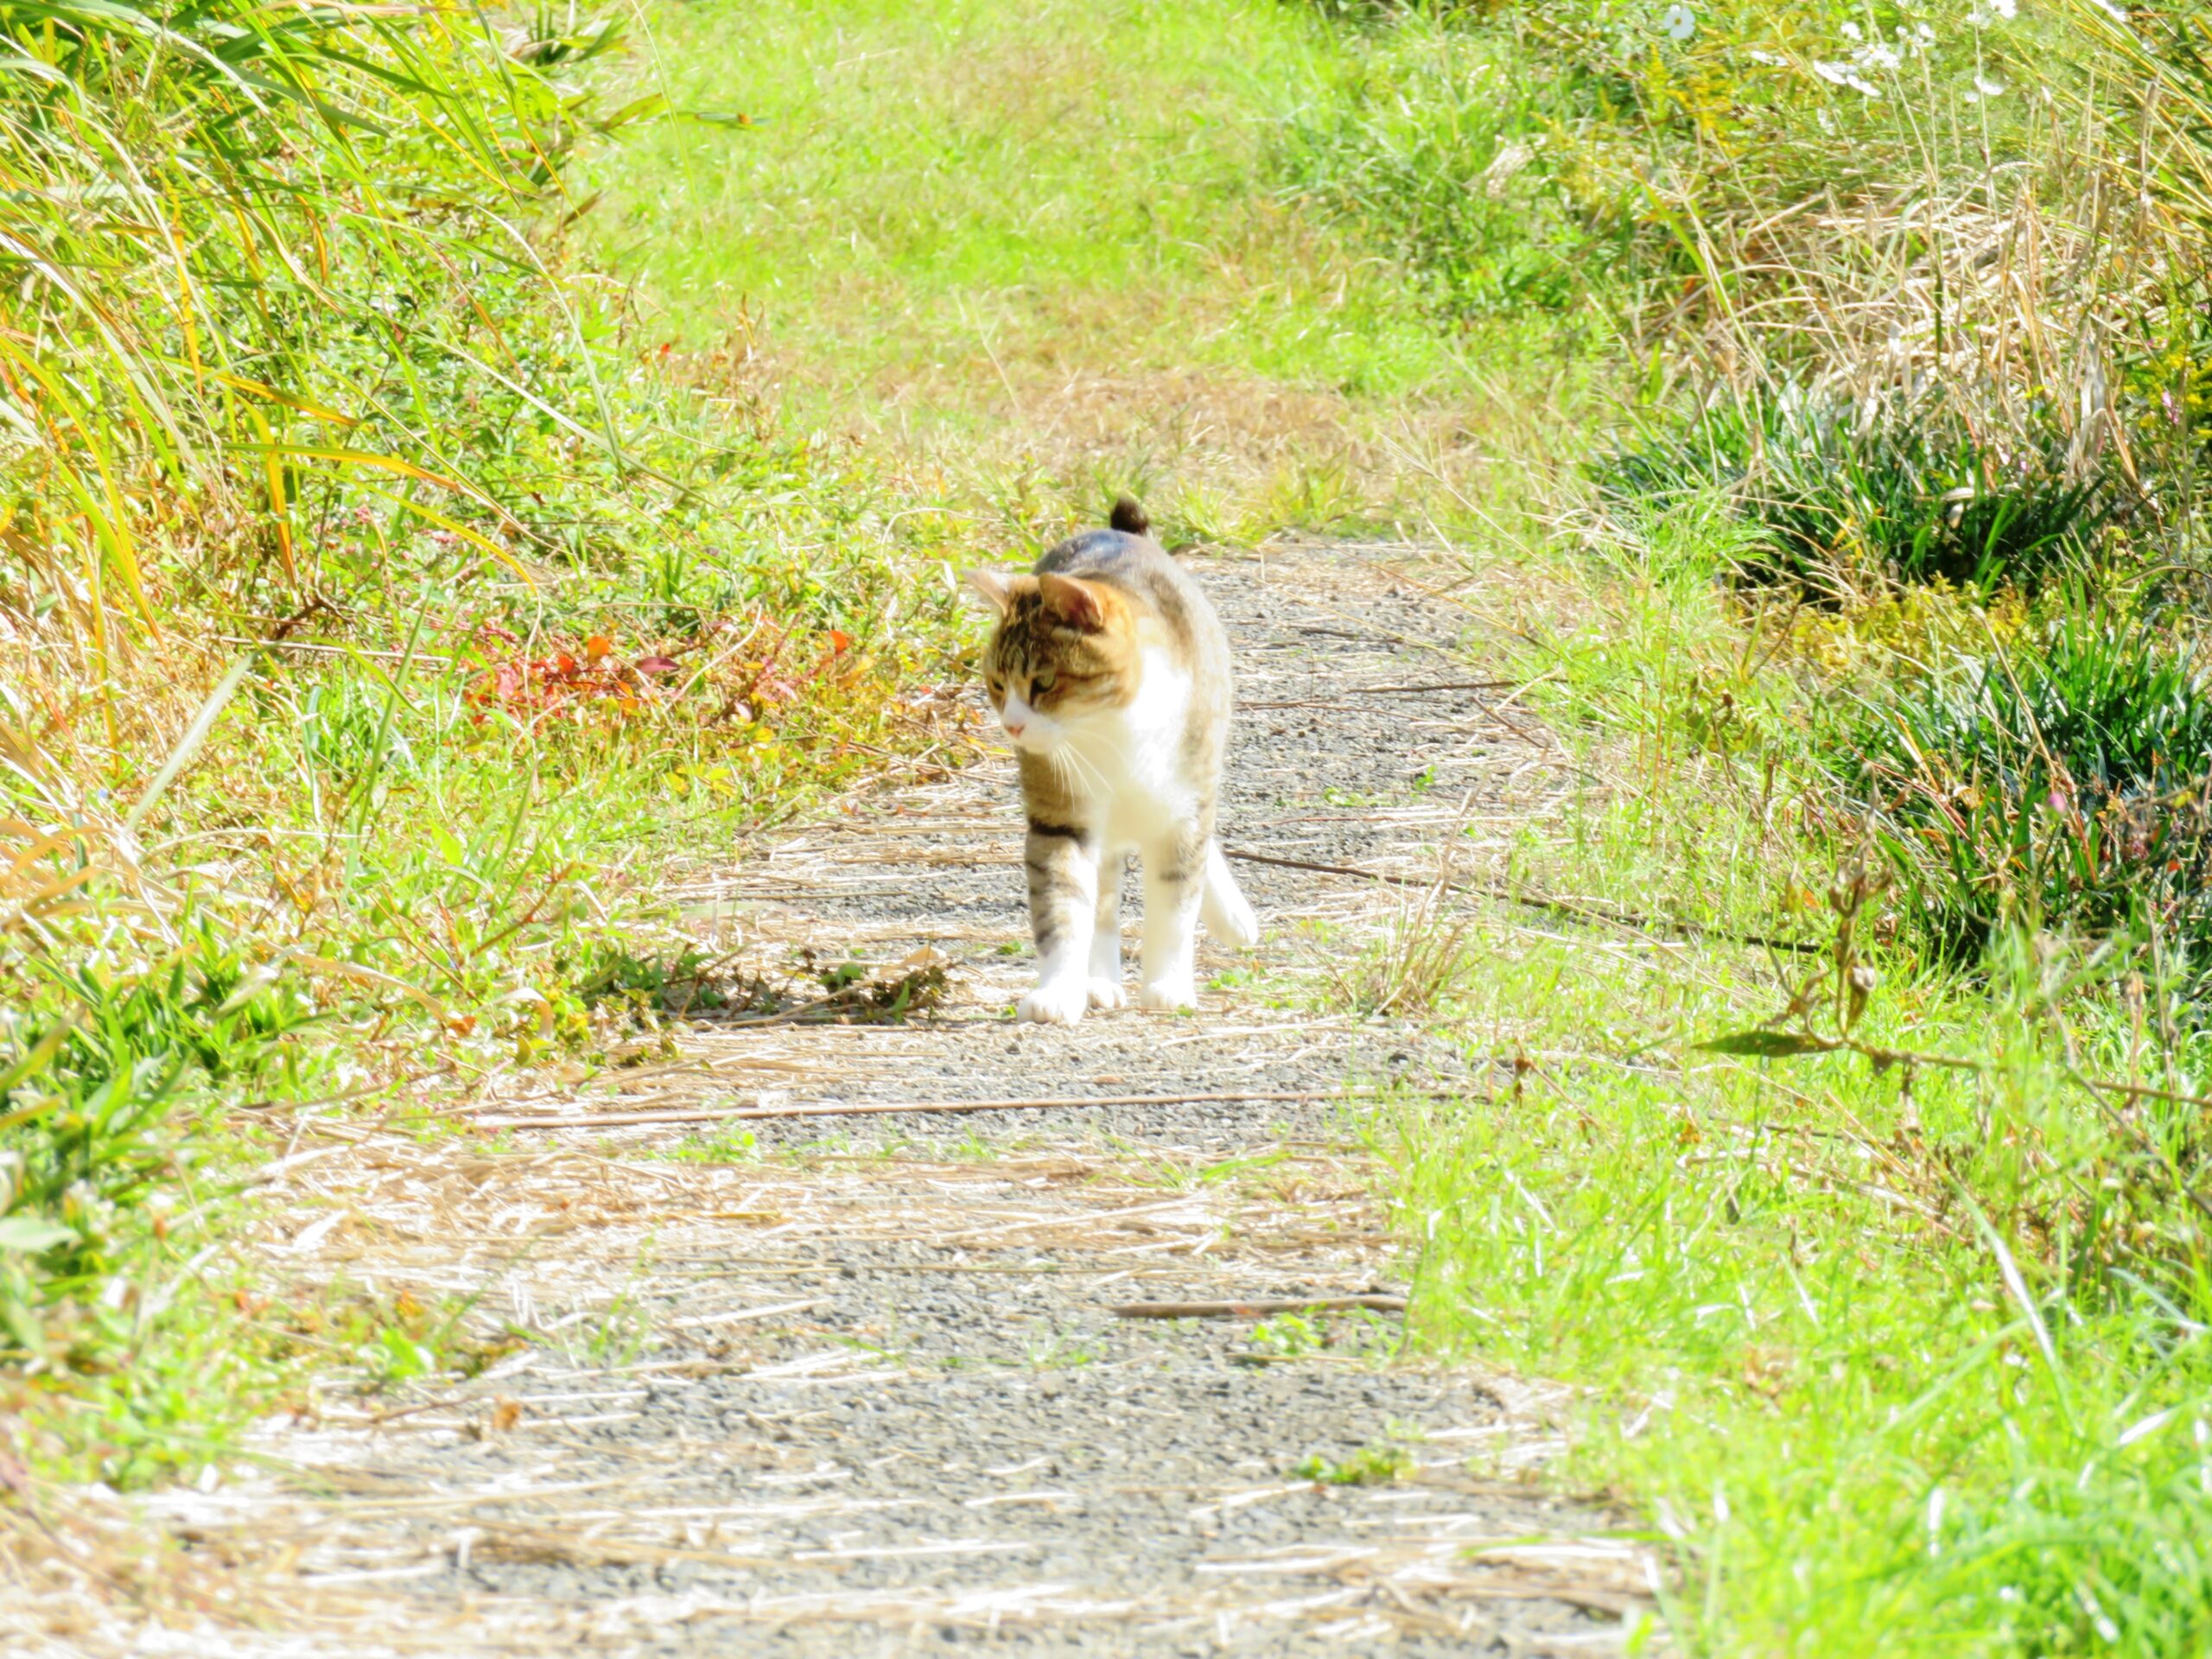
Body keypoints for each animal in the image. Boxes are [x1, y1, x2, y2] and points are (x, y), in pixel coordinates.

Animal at [969, 493, 1265, 1026]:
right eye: (998, 685)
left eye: (1044, 682)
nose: (1013, 727)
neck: (1113, 728)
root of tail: (1118, 534)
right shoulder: (1060, 817)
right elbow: (1064, 907)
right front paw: (1059, 990)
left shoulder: (1182, 811)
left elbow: (1175, 906)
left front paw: (1168, 985)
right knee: (1103, 898)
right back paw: (1100, 982)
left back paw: (1232, 917)